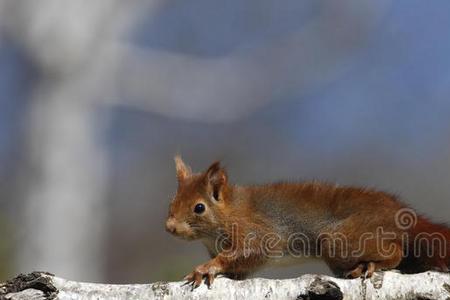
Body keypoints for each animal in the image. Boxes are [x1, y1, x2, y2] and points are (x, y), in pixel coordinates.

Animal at [165, 156, 450, 288]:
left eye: (199, 208)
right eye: (171, 202)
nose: (170, 227)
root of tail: (404, 216)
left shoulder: (254, 230)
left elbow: (249, 251)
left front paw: (207, 267)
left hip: (340, 240)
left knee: (396, 252)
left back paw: (372, 264)